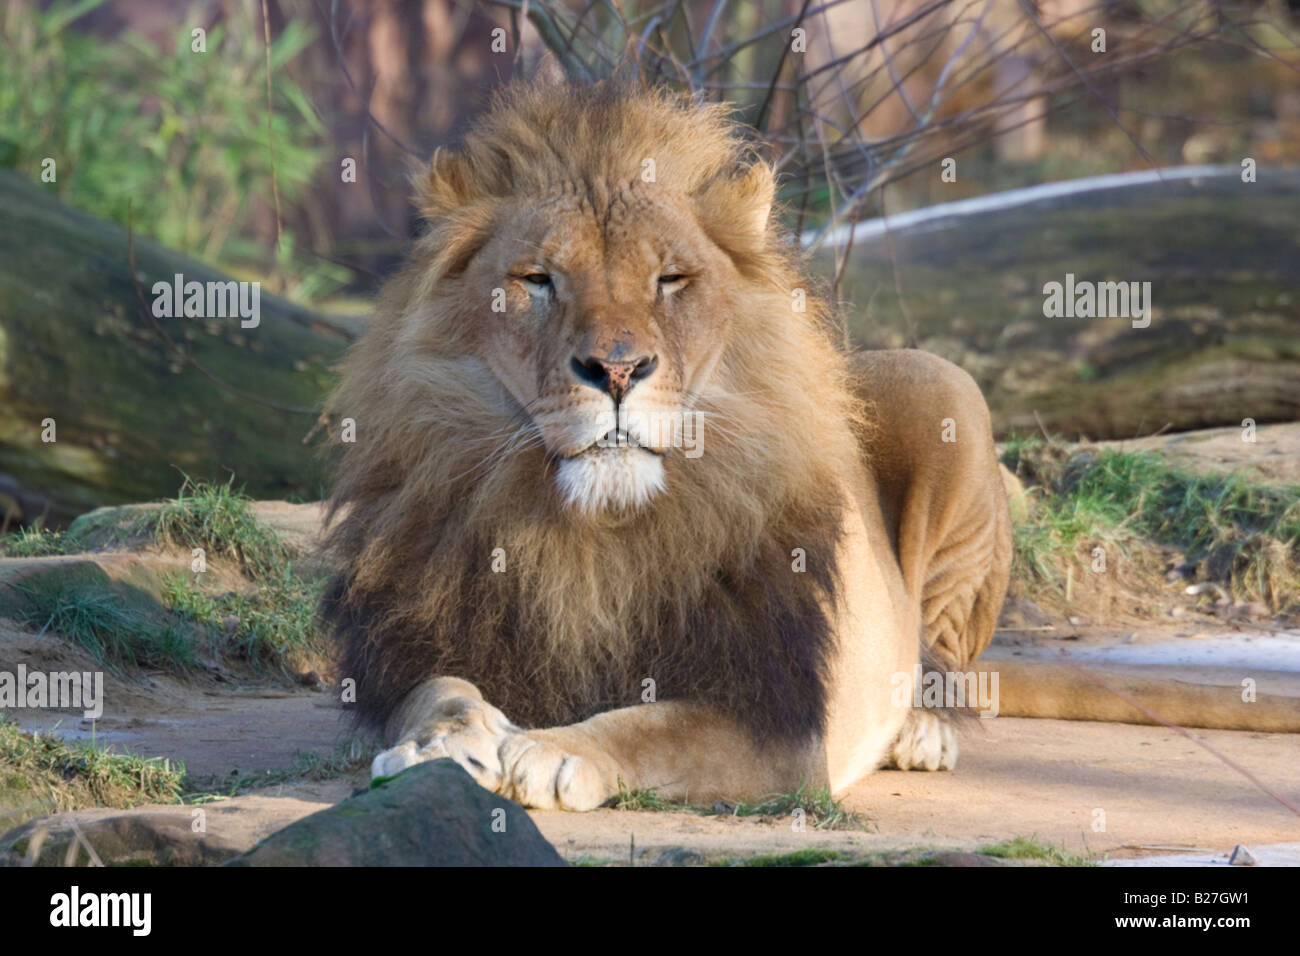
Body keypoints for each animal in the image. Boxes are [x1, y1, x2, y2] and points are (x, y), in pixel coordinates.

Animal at [320, 70, 1297, 812]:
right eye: (537, 279)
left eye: (670, 279)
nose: (618, 369)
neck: (594, 532)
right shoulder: (418, 642)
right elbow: (438, 692)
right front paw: (450, 743)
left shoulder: (777, 725)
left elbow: (653, 728)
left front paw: (555, 751)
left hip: (938, 386)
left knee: (943, 657)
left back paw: (920, 728)